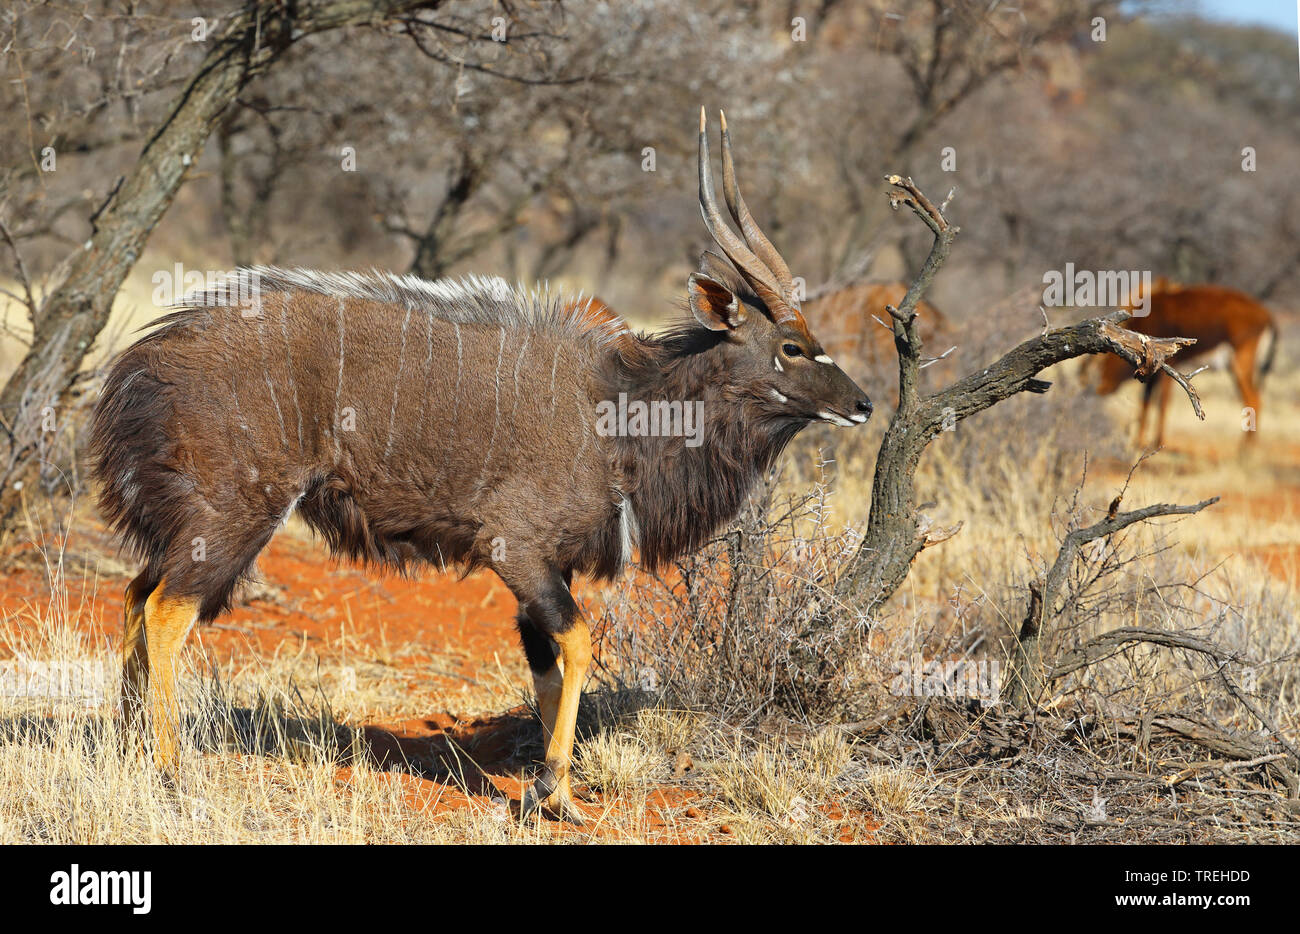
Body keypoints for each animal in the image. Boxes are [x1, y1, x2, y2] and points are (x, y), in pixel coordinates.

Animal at [86, 109, 868, 822]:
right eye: (793, 347)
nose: (862, 404)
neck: (621, 409)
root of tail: (138, 365)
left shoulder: (545, 568)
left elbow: (546, 669)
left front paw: (561, 795)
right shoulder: (516, 550)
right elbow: (577, 642)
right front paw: (554, 792)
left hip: (195, 524)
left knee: (135, 594)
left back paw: (127, 750)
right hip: (236, 514)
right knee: (166, 609)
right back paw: (171, 774)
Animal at [1086, 279, 1279, 447]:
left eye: (1101, 364)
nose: (1099, 389)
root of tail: (1267, 316)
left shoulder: (1169, 367)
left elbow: (1162, 402)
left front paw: (1158, 441)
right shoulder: (1151, 373)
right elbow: (1146, 401)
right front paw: (1139, 441)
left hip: (1239, 366)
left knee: (1254, 399)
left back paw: (1244, 451)